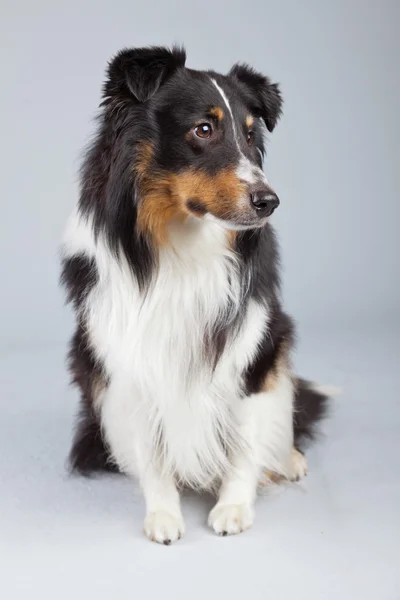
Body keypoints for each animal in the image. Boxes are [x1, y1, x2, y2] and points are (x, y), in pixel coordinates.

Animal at [61, 45, 332, 544]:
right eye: (203, 129)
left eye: (251, 135)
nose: (269, 201)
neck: (183, 249)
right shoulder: (129, 359)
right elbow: (151, 450)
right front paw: (164, 515)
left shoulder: (251, 346)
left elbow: (246, 434)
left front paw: (234, 507)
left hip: (279, 342)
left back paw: (287, 459)